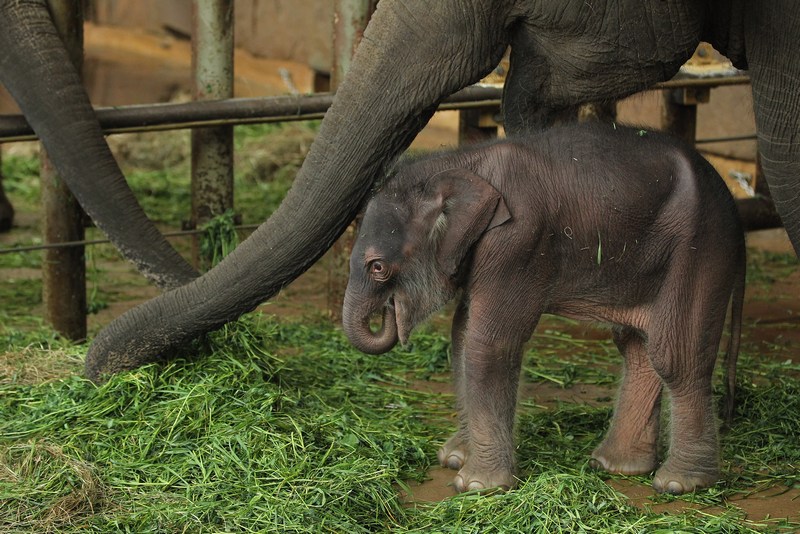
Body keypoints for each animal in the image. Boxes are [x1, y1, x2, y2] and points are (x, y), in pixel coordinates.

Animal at [342, 123, 744, 496]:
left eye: (378, 267)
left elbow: (488, 343)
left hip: (700, 247)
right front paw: (454, 458)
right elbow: (461, 335)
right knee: (636, 348)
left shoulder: (517, 242)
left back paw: (678, 483)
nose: (389, 314)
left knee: (674, 356)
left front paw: (477, 485)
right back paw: (615, 465)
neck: (464, 164)